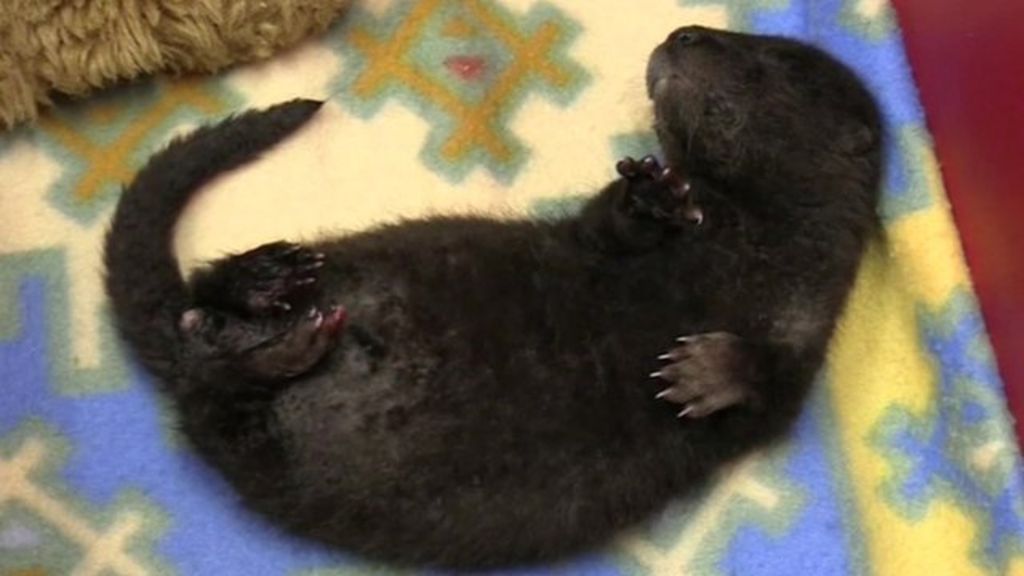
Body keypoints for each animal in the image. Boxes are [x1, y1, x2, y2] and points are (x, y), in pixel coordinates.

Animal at [104, 26, 882, 569]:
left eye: (765, 62)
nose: (686, 33)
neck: (743, 239)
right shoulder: (605, 240)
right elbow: (603, 229)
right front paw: (650, 196)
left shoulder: (809, 325)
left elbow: (769, 388)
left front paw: (703, 370)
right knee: (206, 327)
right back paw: (268, 286)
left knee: (214, 369)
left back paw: (275, 337)